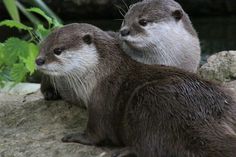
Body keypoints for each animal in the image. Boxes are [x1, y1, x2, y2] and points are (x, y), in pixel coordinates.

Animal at [35, 23, 236, 157]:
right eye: (41, 47)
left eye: (58, 50)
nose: (38, 60)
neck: (100, 74)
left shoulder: (101, 98)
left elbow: (96, 132)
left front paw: (77, 136)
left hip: (150, 97)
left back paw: (124, 151)